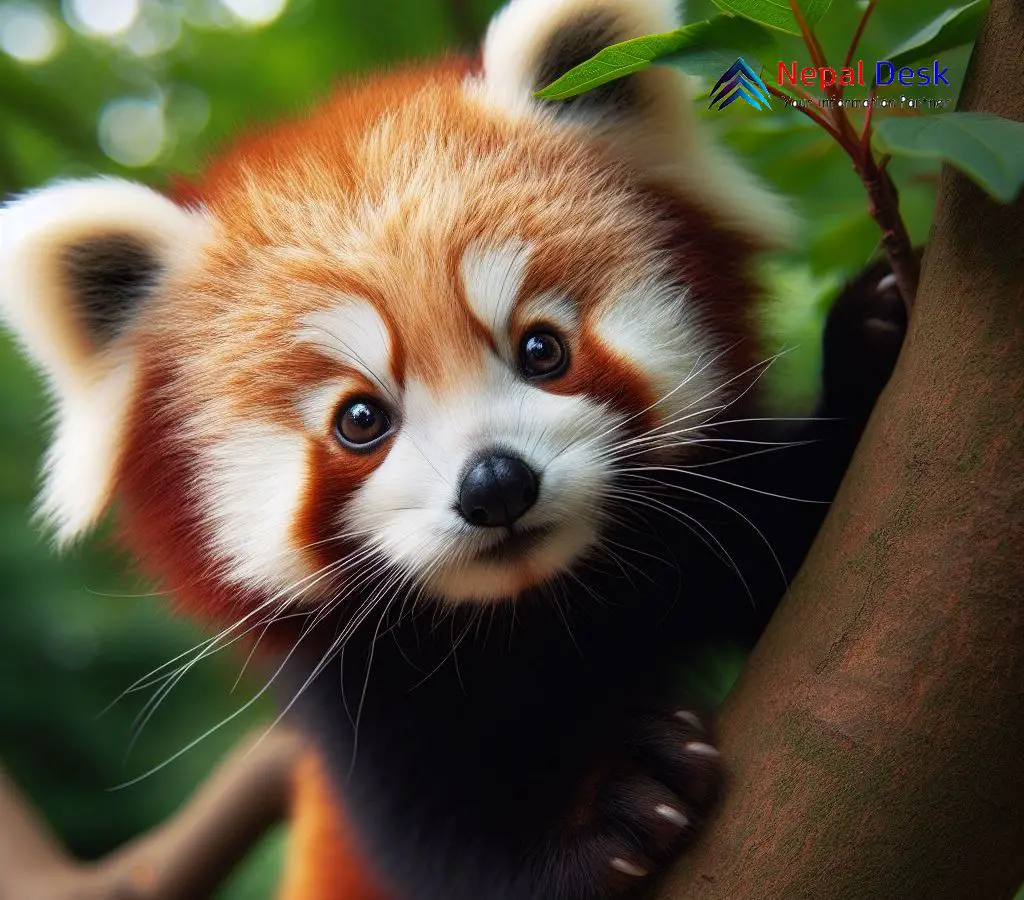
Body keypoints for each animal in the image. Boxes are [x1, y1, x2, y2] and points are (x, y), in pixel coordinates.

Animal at [0, 1, 905, 900]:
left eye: (542, 349)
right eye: (360, 419)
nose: (496, 484)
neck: (542, 616)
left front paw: (875, 332)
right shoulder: (364, 716)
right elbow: (441, 845)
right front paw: (596, 809)